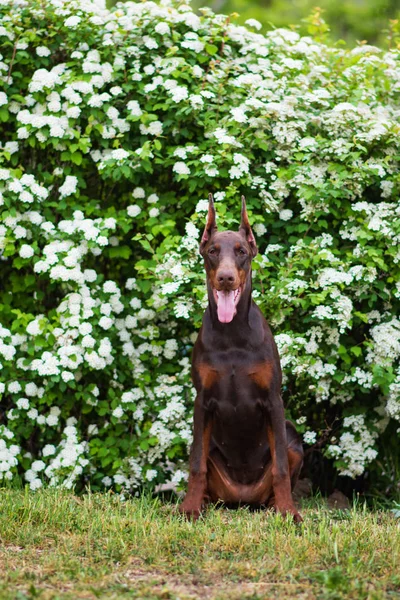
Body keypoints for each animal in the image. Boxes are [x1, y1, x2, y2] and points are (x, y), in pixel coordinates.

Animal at [179, 196, 304, 520]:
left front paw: (289, 512)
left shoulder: (273, 400)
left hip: (293, 436)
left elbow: (281, 469)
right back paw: (202, 502)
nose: (225, 278)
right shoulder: (202, 401)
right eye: (212, 251)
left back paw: (276, 506)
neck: (232, 334)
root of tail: (242, 500)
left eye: (242, 252)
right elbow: (195, 464)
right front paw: (189, 508)